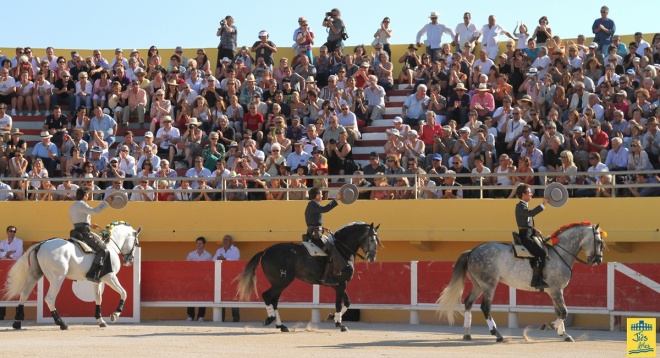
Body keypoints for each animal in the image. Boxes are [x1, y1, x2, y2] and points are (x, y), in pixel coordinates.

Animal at [3, 224, 140, 330]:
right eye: (136, 242)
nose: (129, 260)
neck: (110, 247)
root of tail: (40, 244)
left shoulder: (97, 280)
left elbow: (98, 298)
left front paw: (101, 321)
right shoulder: (110, 277)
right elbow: (124, 292)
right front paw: (115, 314)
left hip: (35, 275)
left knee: (24, 294)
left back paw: (17, 323)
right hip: (57, 278)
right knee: (50, 298)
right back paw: (62, 323)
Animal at [237, 222, 382, 332]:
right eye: (371, 239)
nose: (372, 257)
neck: (342, 250)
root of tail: (266, 251)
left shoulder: (337, 285)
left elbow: (347, 302)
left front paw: (332, 317)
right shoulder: (341, 283)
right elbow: (339, 303)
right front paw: (340, 324)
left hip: (277, 283)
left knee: (274, 301)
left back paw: (281, 325)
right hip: (282, 282)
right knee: (267, 296)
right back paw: (270, 320)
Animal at [436, 222, 604, 342]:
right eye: (599, 241)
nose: (598, 260)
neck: (559, 253)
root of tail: (472, 251)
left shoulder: (555, 291)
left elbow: (559, 312)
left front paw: (564, 334)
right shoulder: (556, 290)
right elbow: (564, 312)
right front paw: (548, 326)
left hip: (478, 285)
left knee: (468, 302)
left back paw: (467, 334)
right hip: (489, 284)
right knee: (485, 307)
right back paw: (497, 335)